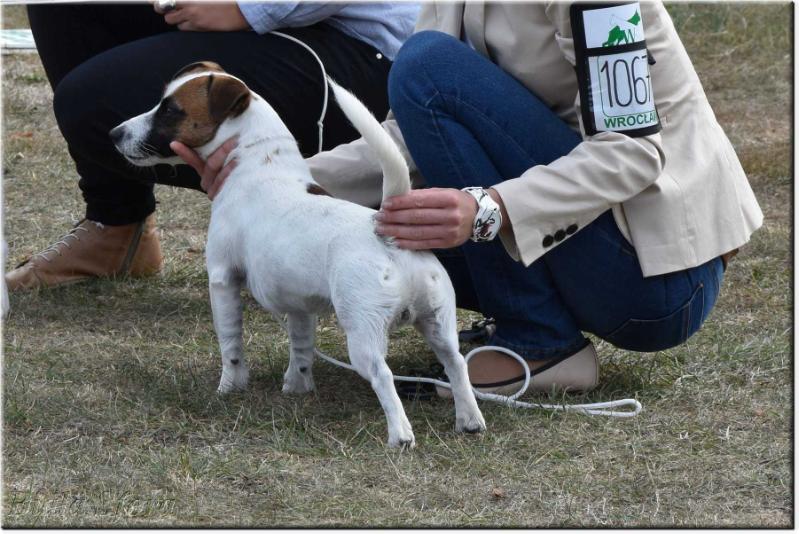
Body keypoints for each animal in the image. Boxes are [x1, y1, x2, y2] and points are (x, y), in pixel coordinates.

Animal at [111, 61, 488, 448]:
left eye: (171, 110)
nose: (114, 133)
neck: (261, 164)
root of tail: (386, 231)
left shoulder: (222, 279)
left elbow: (230, 344)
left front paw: (230, 387)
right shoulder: (299, 303)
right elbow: (301, 345)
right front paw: (298, 385)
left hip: (363, 331)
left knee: (382, 375)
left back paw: (400, 434)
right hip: (438, 322)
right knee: (456, 364)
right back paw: (470, 420)